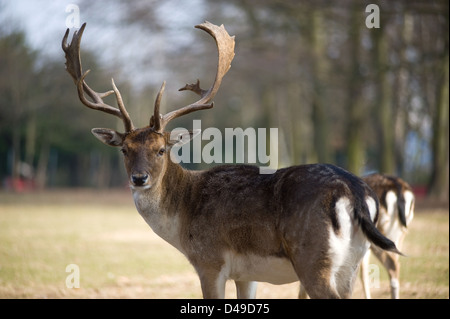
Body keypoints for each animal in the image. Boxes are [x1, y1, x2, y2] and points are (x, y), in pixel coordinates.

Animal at [60, 21, 400, 298]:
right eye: (124, 149)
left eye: (161, 149)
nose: (139, 178)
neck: (182, 217)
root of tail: (355, 193)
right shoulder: (246, 274)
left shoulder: (209, 261)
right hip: (352, 263)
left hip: (313, 259)